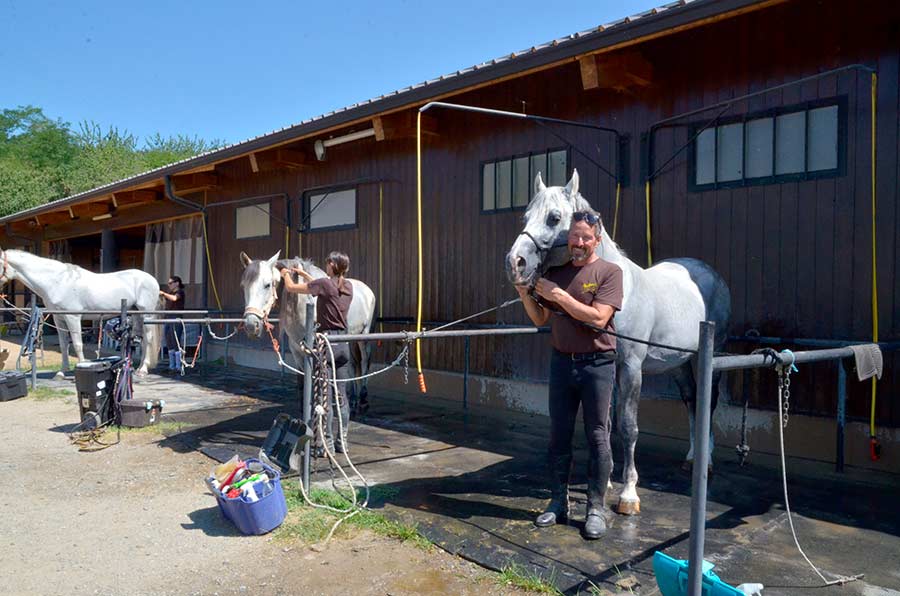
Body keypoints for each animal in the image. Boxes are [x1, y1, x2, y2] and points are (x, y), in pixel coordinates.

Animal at [0, 247, 162, 375]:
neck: (57, 281)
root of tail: (152, 279)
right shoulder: (59, 319)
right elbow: (64, 344)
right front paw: (62, 372)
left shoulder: (73, 317)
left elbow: (77, 344)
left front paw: (82, 366)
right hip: (136, 314)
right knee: (142, 339)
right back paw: (138, 368)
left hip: (146, 314)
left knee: (148, 339)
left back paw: (143, 370)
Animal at [239, 251, 376, 409]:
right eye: (243, 285)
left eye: (267, 285)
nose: (251, 325)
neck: (303, 303)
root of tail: (367, 290)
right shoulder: (297, 350)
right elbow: (304, 382)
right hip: (351, 339)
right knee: (353, 364)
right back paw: (353, 398)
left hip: (364, 337)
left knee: (365, 361)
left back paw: (363, 398)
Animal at [505, 170, 731, 515]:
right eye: (526, 217)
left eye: (554, 218)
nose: (515, 262)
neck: (622, 289)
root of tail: (707, 272)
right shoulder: (609, 369)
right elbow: (606, 423)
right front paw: (608, 478)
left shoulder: (631, 368)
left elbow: (627, 426)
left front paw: (628, 493)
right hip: (678, 363)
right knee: (692, 399)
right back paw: (693, 457)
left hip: (710, 355)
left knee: (709, 401)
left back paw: (706, 462)